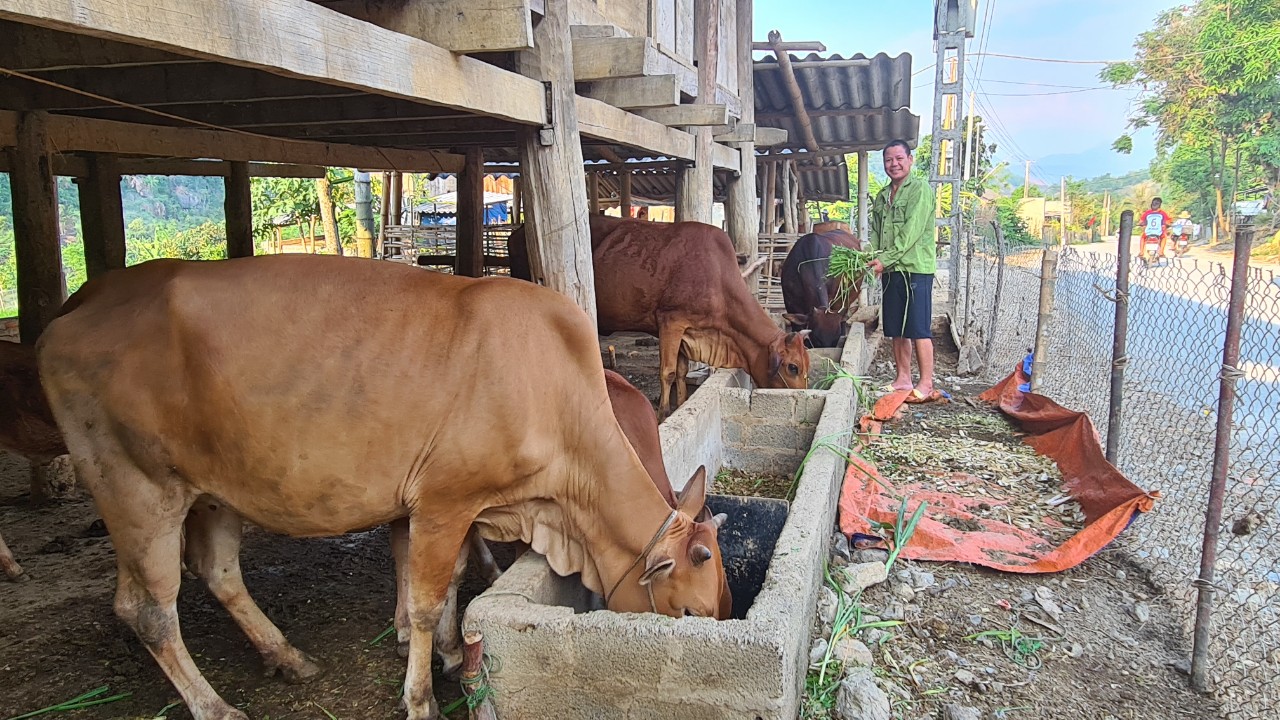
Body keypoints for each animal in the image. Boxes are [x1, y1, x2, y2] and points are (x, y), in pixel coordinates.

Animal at [509, 212, 808, 415]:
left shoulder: (688, 331)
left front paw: (682, 403)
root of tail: (519, 230)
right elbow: (667, 372)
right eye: (792, 367)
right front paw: (664, 412)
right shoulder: (670, 321)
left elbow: (682, 371)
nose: (801, 397)